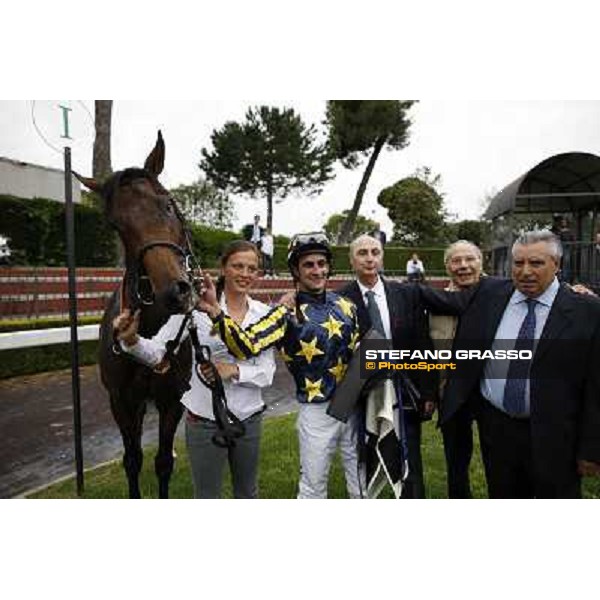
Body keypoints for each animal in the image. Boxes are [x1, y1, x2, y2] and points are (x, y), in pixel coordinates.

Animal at [72, 134, 195, 500]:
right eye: (116, 224)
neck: (150, 331)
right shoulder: (120, 400)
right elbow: (132, 459)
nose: (175, 292)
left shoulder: (172, 398)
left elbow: (163, 462)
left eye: (168, 204)